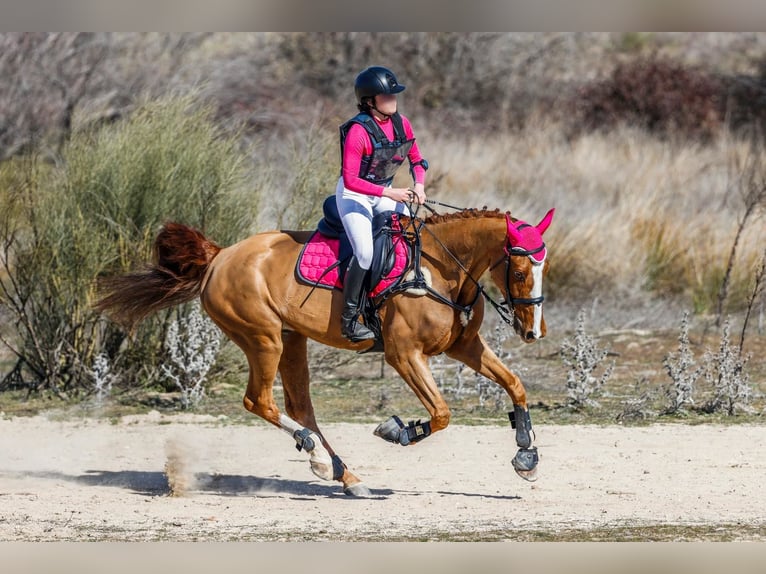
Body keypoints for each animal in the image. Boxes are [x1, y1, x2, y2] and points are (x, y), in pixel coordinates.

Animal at [97, 208, 560, 500]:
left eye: (546, 268)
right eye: (520, 271)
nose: (533, 332)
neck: (439, 271)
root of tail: (220, 256)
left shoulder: (464, 346)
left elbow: (515, 384)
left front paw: (527, 456)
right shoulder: (404, 355)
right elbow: (442, 413)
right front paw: (397, 430)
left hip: (291, 340)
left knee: (299, 406)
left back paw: (346, 475)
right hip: (264, 339)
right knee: (258, 400)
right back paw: (318, 457)